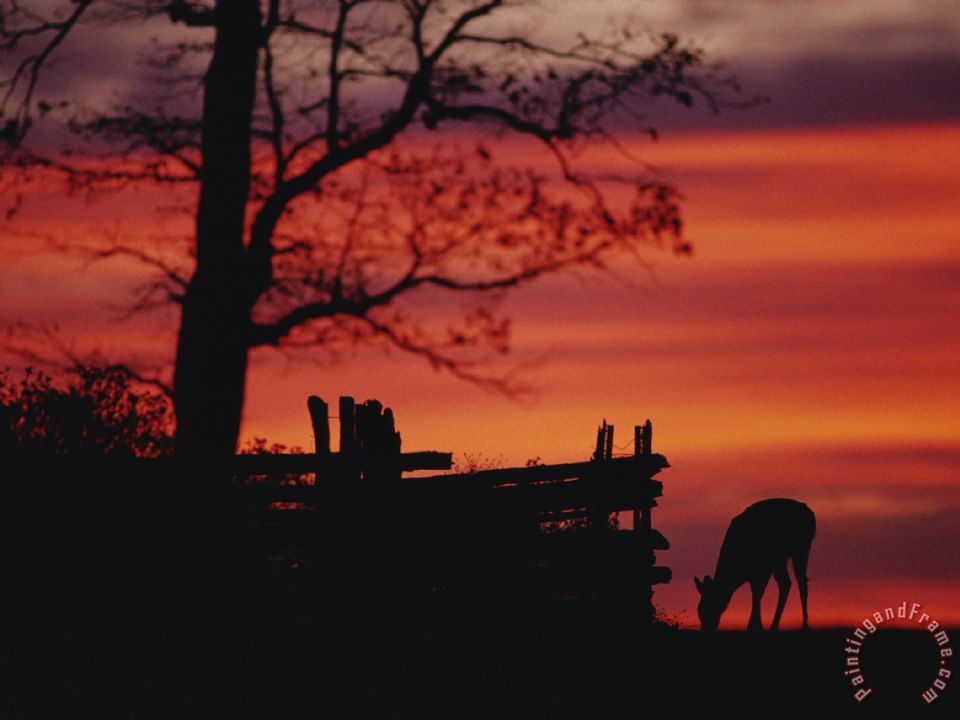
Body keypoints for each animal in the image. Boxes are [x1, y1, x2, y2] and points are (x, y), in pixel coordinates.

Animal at [694, 498, 815, 632]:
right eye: (699, 611)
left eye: (712, 606)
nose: (707, 629)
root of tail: (810, 514)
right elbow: (756, 592)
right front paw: (755, 625)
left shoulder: (763, 567)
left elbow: (757, 592)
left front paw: (754, 625)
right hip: (780, 560)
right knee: (786, 583)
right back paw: (775, 625)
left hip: (800, 551)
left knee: (801, 584)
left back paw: (804, 625)